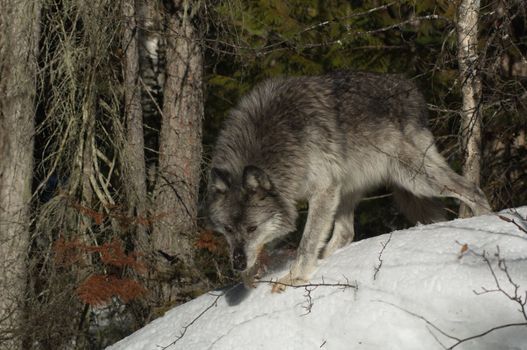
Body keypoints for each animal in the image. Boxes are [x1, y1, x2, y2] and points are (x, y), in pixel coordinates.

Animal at [205, 70, 490, 290]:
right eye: (227, 229)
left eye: (252, 228)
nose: (237, 263)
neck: (278, 140)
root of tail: (410, 90)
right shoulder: (309, 195)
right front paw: (250, 277)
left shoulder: (322, 190)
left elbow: (306, 242)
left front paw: (293, 278)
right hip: (350, 189)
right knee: (346, 233)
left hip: (414, 178)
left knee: (472, 189)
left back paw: (485, 223)